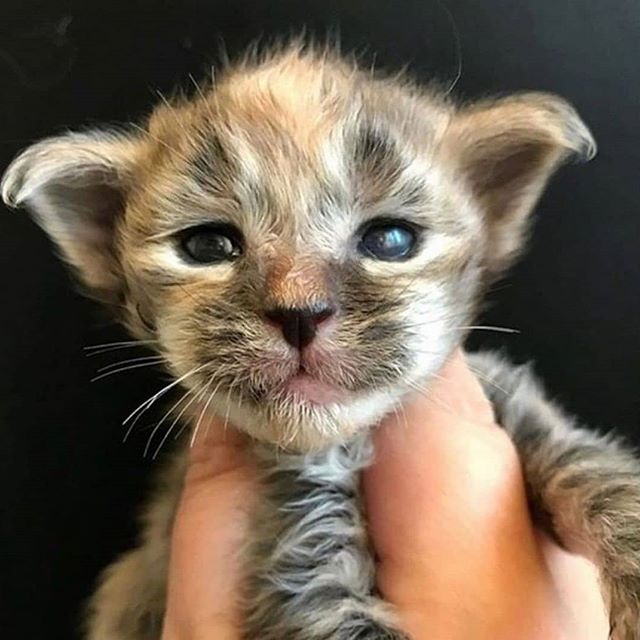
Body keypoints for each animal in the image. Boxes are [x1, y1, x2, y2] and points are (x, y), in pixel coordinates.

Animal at [2, 45, 636, 640]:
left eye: (391, 240)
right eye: (208, 246)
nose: (301, 314)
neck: (346, 443)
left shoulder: (515, 406)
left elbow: (593, 466)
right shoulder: (301, 559)